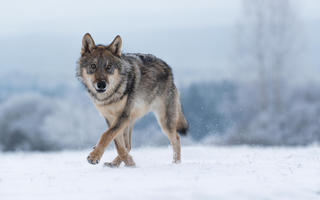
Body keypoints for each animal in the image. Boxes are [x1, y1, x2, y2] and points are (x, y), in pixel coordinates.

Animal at [76, 34, 189, 167]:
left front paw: (94, 157)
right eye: (93, 66)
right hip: (131, 121)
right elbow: (118, 144)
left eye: (108, 67)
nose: (102, 84)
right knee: (128, 145)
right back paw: (115, 163)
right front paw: (130, 163)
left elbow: (106, 135)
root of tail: (169, 69)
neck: (111, 96)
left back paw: (176, 163)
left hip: (164, 121)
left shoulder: (123, 115)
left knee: (176, 138)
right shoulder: (110, 118)